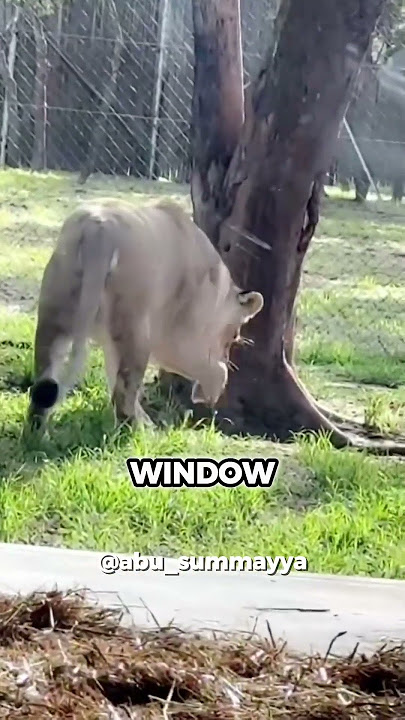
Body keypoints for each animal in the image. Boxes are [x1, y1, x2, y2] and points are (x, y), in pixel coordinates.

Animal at [26, 199, 264, 432]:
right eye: (233, 336)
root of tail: (97, 232)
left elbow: (111, 370)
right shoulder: (176, 339)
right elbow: (216, 368)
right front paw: (208, 395)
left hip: (55, 316)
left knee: (44, 383)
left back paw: (38, 434)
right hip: (138, 331)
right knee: (124, 392)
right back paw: (136, 432)